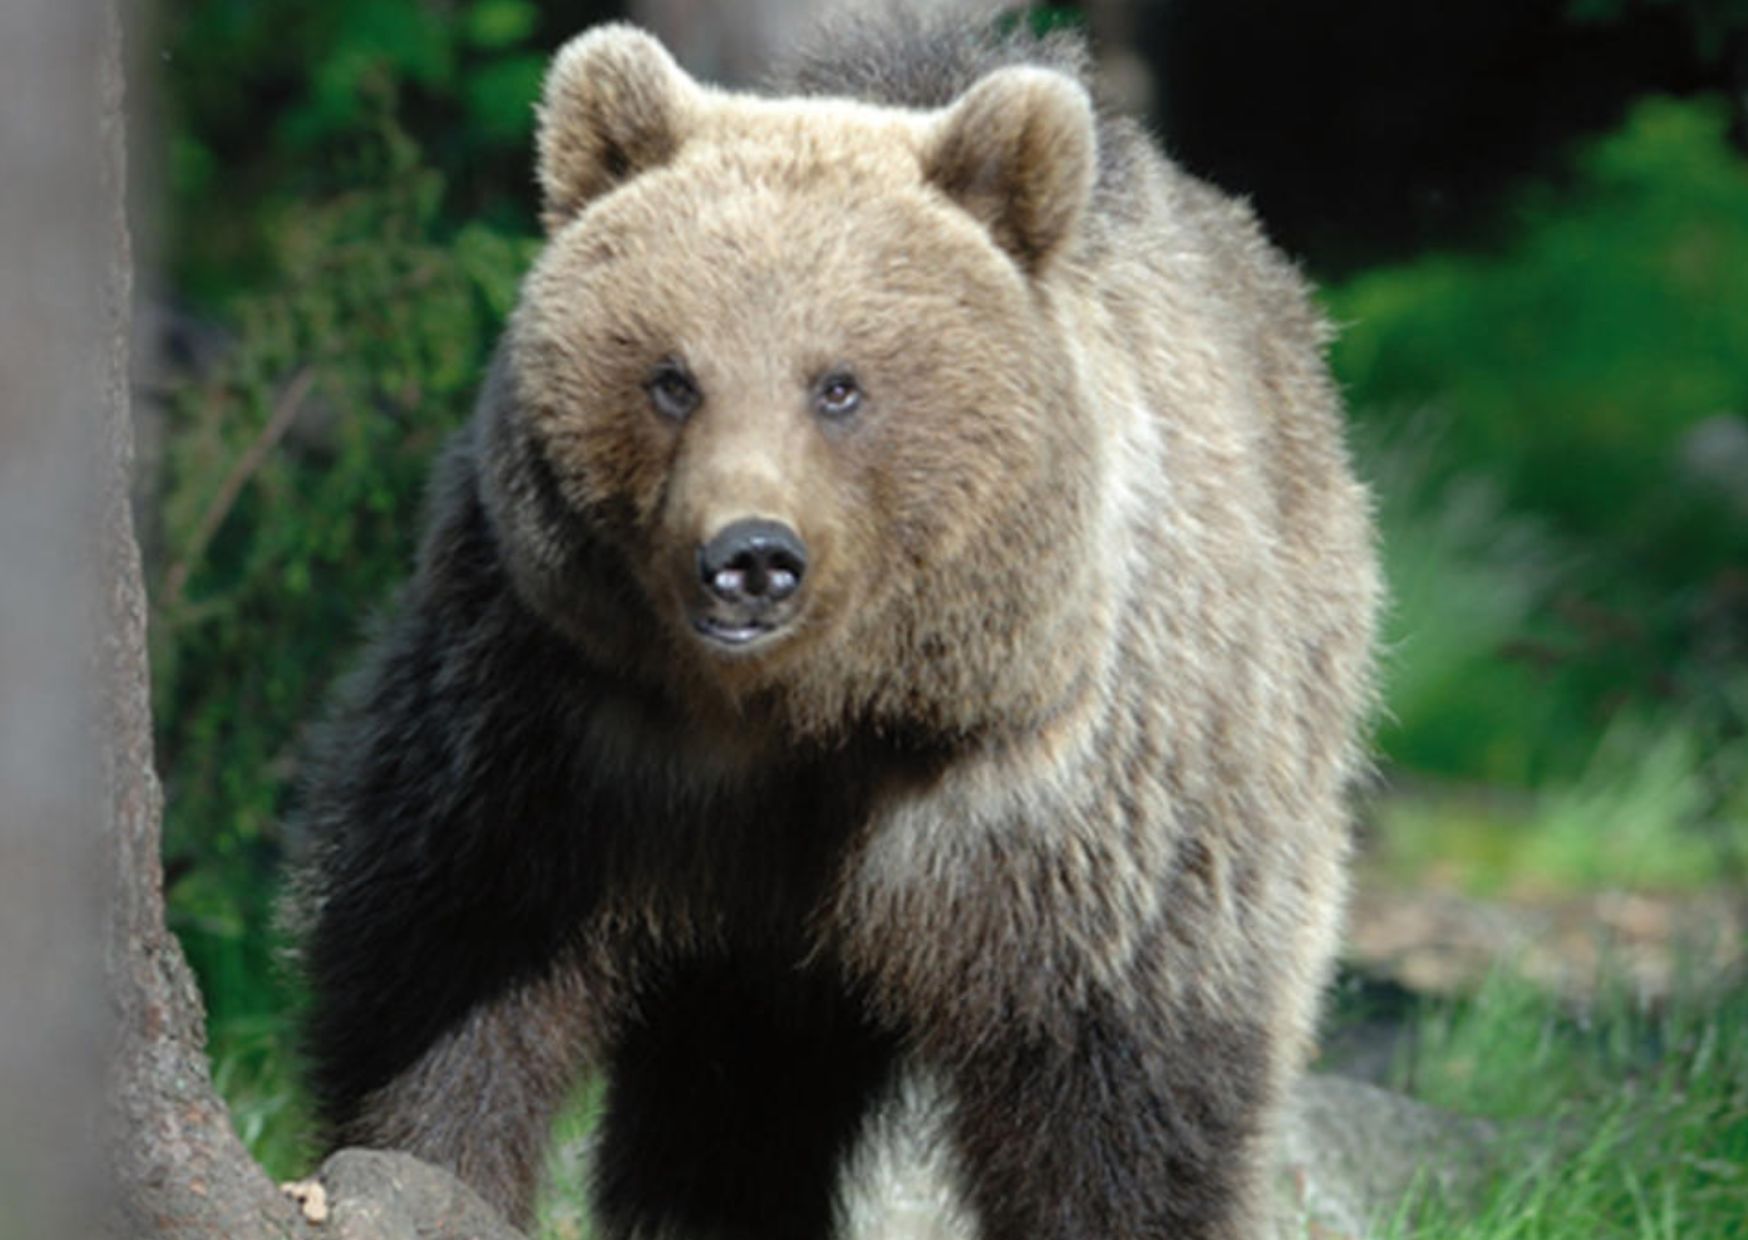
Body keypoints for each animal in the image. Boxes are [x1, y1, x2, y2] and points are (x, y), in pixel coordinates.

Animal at [289, 9, 1380, 1239]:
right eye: (671, 376)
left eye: (840, 385)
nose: (749, 559)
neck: (813, 717)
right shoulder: (554, 715)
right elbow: (446, 960)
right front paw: (417, 1171)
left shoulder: (1067, 796)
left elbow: (1120, 1080)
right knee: (732, 1098)